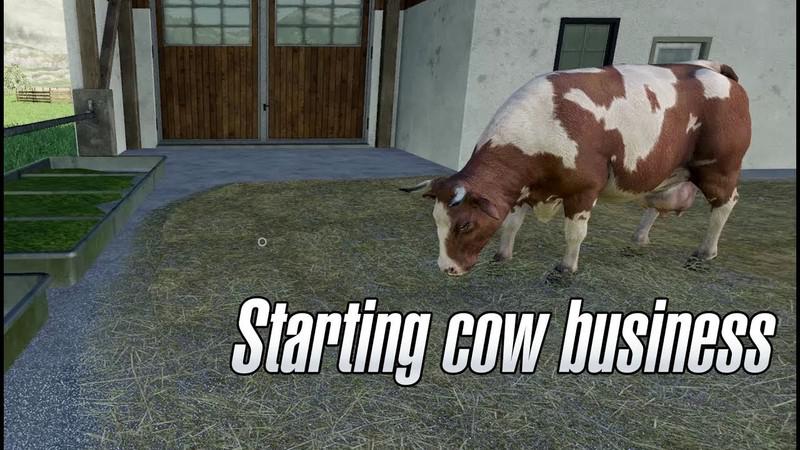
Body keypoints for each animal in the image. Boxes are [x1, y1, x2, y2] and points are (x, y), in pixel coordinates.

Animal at [402, 61, 751, 276]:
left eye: (464, 225)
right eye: (437, 221)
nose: (447, 268)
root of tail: (714, 69)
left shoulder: (584, 190)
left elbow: (574, 234)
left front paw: (565, 269)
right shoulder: (520, 190)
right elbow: (511, 225)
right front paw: (503, 256)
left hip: (720, 167)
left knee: (724, 205)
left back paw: (705, 252)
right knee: (656, 202)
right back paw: (639, 238)